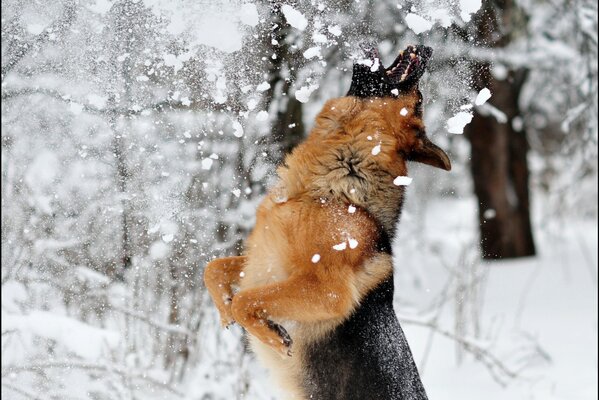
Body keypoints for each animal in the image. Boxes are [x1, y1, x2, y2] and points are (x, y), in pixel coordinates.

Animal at [204, 45, 452, 398]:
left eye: (418, 100)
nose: (427, 48)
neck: (333, 189)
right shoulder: (263, 260)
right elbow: (214, 269)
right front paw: (225, 309)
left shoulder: (327, 291)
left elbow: (246, 299)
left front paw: (271, 336)